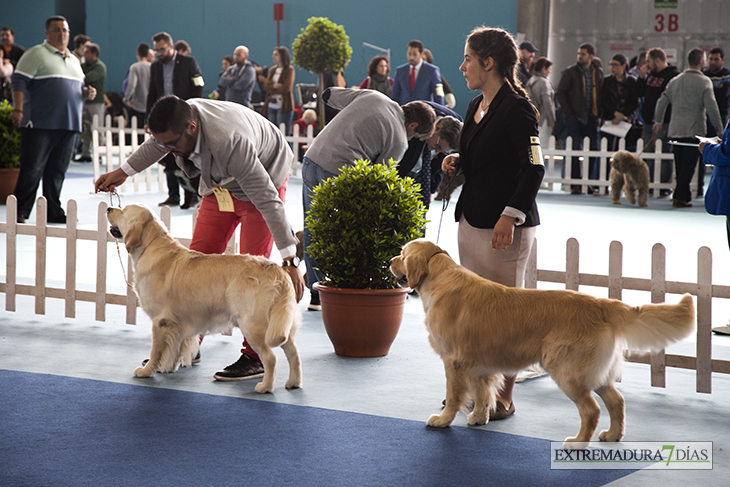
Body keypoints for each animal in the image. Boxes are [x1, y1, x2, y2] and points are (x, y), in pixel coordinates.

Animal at [105, 204, 302, 394]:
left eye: (123, 210)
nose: (108, 208)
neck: (150, 247)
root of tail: (278, 272)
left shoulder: (160, 321)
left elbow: (156, 351)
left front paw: (147, 371)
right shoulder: (177, 322)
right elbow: (174, 348)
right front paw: (169, 367)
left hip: (253, 326)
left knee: (270, 357)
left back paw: (265, 387)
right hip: (281, 325)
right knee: (294, 354)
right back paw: (293, 383)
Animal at [390, 238, 696, 448]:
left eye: (403, 254)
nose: (390, 260)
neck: (439, 277)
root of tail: (600, 304)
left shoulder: (454, 360)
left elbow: (454, 396)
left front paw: (443, 420)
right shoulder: (479, 362)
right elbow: (482, 392)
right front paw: (479, 417)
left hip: (567, 370)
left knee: (592, 409)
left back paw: (578, 442)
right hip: (594, 372)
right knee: (616, 401)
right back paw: (612, 435)